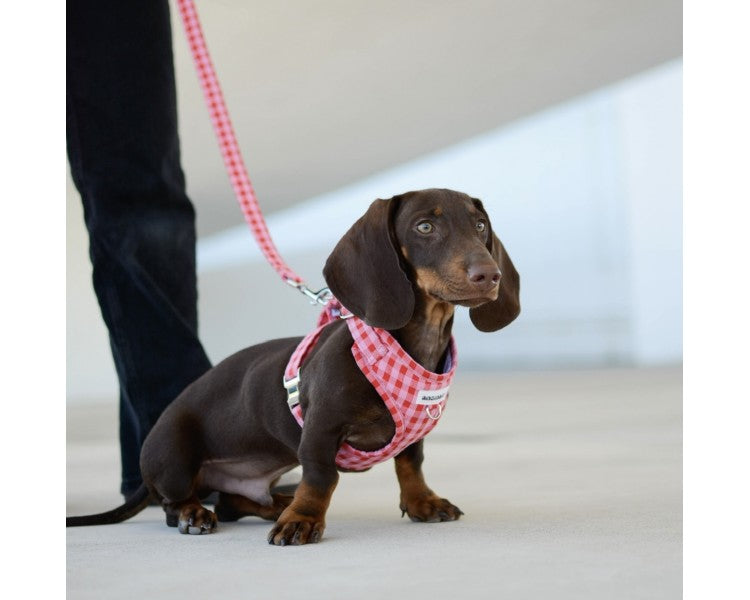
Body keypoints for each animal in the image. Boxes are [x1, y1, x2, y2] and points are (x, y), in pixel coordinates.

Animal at [67, 190, 520, 548]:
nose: (489, 275)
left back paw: (277, 504)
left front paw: (422, 502)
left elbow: (410, 464)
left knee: (234, 503)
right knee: (173, 503)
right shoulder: (320, 429)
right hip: (174, 455)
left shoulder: (412, 434)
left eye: (480, 225)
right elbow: (320, 477)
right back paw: (197, 514)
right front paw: (303, 520)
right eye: (424, 226)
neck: (413, 348)